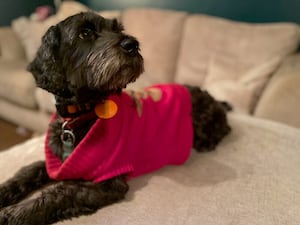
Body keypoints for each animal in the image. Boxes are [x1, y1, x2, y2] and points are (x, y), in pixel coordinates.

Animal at [0, 11, 230, 223]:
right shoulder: (57, 163)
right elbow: (28, 171)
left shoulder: (108, 183)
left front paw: (14, 214)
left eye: (118, 29)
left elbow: (60, 193)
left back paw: (207, 142)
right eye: (85, 33)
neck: (81, 115)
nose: (132, 44)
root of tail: (214, 99)